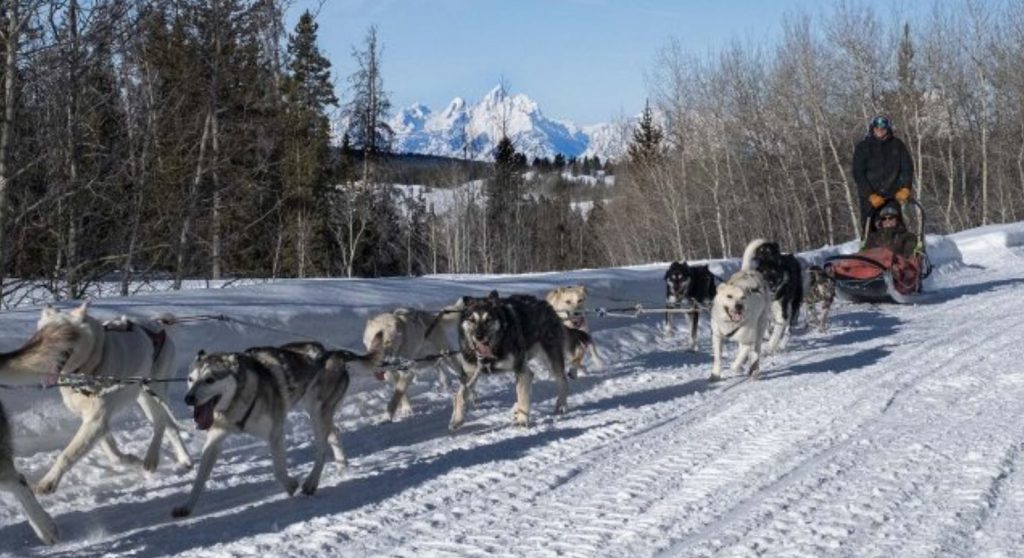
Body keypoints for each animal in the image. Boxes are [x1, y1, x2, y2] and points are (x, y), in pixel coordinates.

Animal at [0, 303, 192, 493]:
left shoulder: (96, 420)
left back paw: (152, 458)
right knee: (170, 425)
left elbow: (67, 455)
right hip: (143, 395)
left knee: (160, 423)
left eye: (65, 334)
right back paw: (184, 458)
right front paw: (130, 459)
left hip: (152, 391)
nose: (41, 350)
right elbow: (113, 454)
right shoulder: (96, 421)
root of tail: (156, 324)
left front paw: (49, 481)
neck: (89, 368)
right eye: (42, 333)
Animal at [172, 339, 380, 518]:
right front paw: (187, 506)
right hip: (318, 412)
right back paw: (341, 465)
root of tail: (333, 354)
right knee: (334, 432)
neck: (240, 397)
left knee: (321, 448)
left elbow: (279, 470)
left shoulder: (276, 432)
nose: (188, 398)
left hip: (317, 412)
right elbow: (199, 478)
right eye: (190, 379)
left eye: (210, 380)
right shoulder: (215, 439)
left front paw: (291, 485)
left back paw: (312, 481)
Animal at [708, 237, 770, 380]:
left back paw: (754, 370)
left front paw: (737, 367)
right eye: (729, 296)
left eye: (743, 297)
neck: (730, 324)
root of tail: (749, 271)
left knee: (756, 351)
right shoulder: (717, 337)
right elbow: (718, 358)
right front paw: (715, 374)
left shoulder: (749, 338)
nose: (739, 306)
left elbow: (739, 358)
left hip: (759, 328)